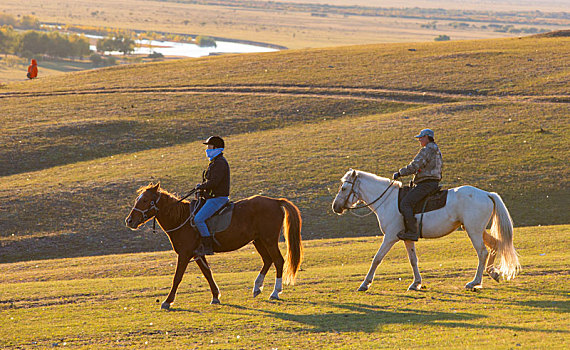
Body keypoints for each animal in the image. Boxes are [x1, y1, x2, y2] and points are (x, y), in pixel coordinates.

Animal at [124, 182, 302, 308]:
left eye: (145, 200)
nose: (129, 221)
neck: (182, 218)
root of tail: (275, 202)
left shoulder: (185, 254)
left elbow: (177, 277)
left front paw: (168, 301)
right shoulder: (197, 254)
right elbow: (207, 273)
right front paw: (216, 296)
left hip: (269, 240)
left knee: (278, 261)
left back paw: (275, 292)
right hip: (258, 241)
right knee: (267, 260)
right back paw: (257, 287)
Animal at [328, 168, 520, 292]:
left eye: (344, 188)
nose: (335, 207)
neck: (387, 200)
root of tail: (487, 194)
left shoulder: (390, 237)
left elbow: (377, 259)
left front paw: (365, 284)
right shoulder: (407, 238)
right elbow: (413, 260)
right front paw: (416, 284)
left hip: (473, 231)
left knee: (482, 252)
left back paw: (474, 282)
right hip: (476, 229)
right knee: (495, 244)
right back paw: (493, 273)